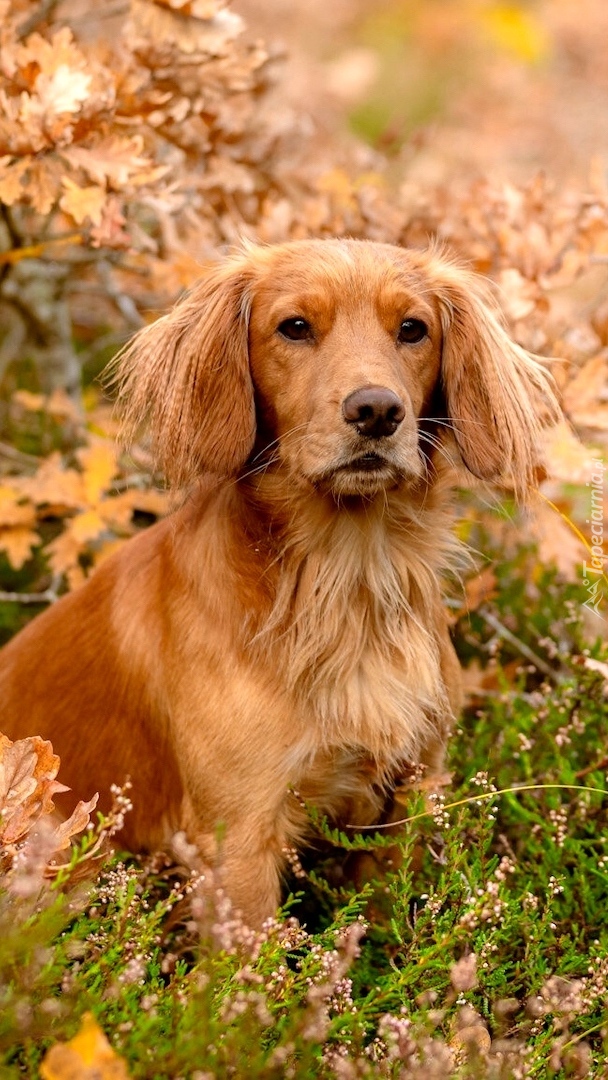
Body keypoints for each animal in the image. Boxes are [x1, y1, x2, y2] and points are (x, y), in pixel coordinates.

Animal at [0, 240, 561, 924]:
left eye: (413, 329)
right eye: (294, 327)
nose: (377, 411)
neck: (344, 580)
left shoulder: (412, 792)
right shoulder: (238, 833)